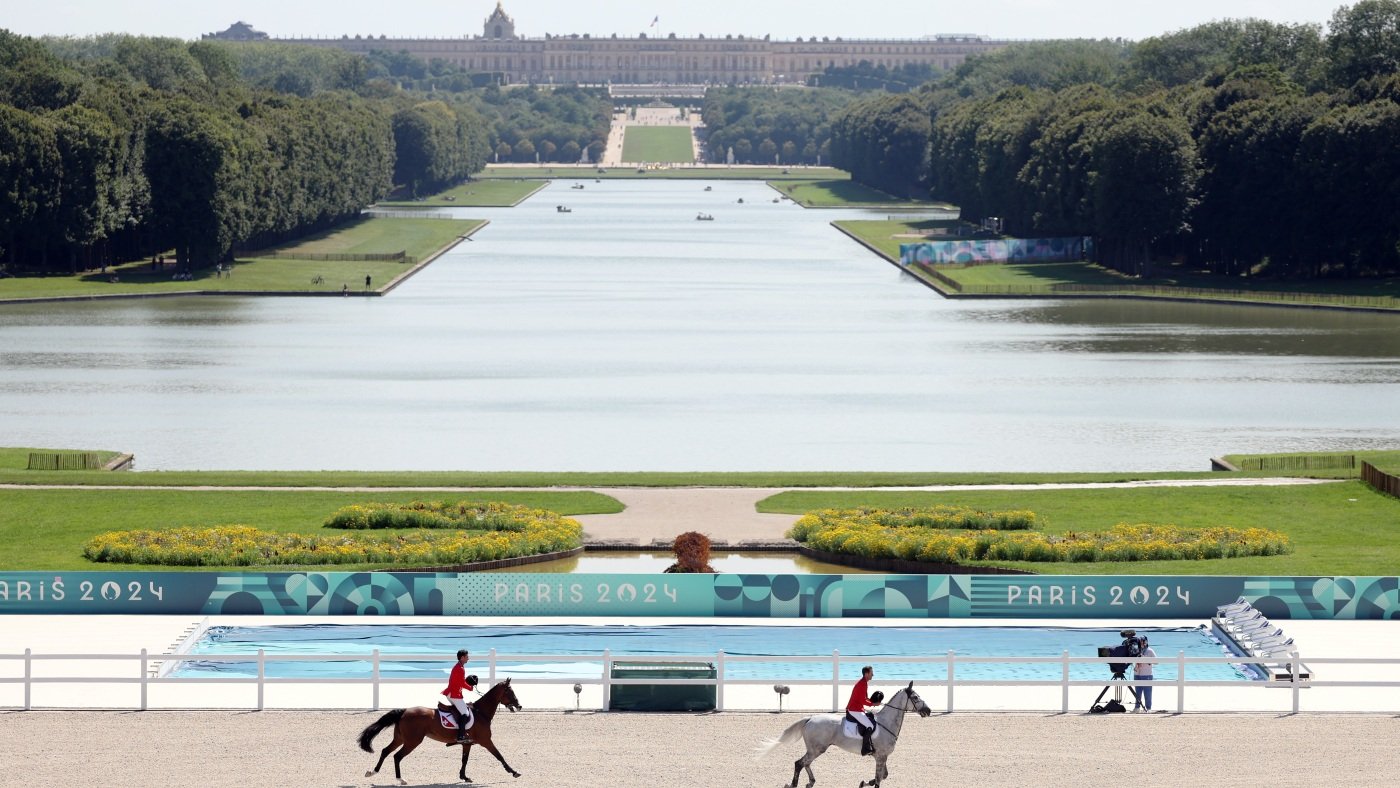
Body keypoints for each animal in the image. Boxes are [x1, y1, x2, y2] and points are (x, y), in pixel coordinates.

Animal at [358, 674, 523, 783]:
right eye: (509, 691)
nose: (519, 706)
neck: (481, 712)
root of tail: (404, 711)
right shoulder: (486, 741)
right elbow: (499, 756)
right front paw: (514, 772)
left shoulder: (467, 744)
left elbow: (464, 760)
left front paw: (464, 777)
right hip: (412, 741)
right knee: (397, 756)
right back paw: (401, 779)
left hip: (400, 738)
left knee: (385, 751)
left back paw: (372, 772)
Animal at [761, 680, 935, 783]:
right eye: (916, 697)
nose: (928, 710)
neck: (887, 722)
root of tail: (810, 719)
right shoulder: (881, 756)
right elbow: (879, 780)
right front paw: (866, 783)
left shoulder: (881, 757)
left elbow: (882, 776)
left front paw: (865, 783)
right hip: (817, 749)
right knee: (800, 763)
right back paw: (796, 784)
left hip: (815, 749)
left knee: (805, 763)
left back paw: (811, 782)